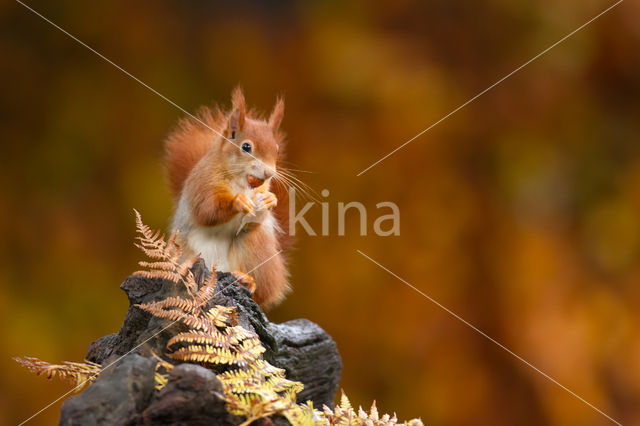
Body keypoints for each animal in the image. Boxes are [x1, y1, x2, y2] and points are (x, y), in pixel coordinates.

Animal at [165, 88, 296, 308]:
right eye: (246, 147)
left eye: (276, 150)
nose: (269, 173)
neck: (242, 183)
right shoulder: (202, 185)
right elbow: (207, 210)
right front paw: (238, 201)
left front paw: (270, 200)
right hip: (187, 250)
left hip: (256, 248)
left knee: (262, 293)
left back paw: (247, 280)